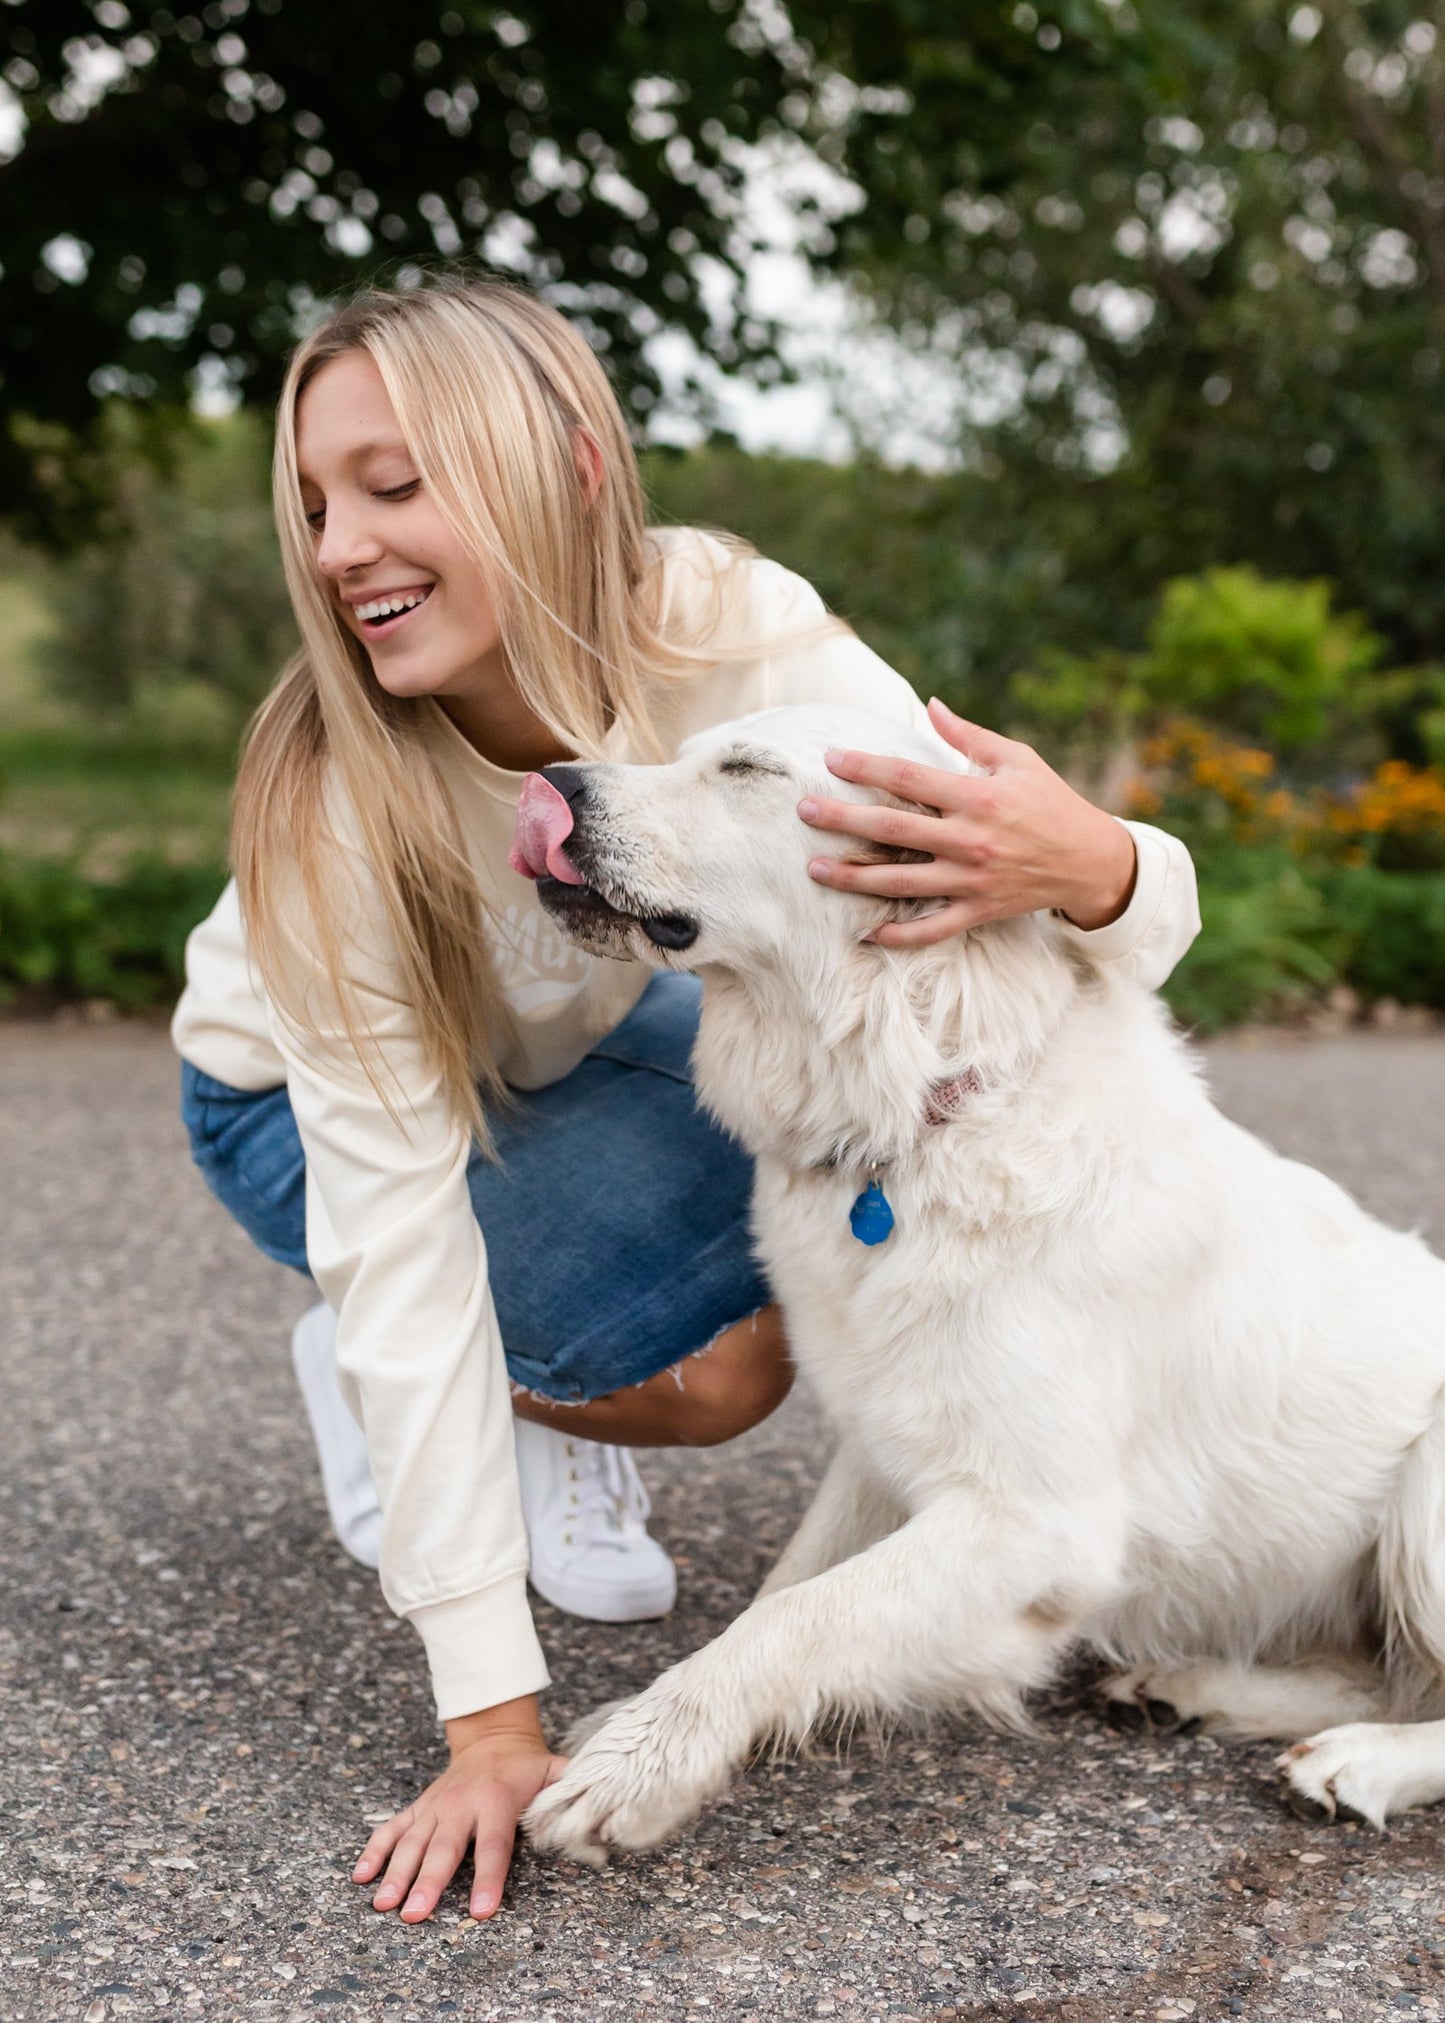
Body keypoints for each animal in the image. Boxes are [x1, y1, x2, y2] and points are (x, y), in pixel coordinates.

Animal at [505, 704, 1440, 1853]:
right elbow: (788, 1584)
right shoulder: (880, 1444)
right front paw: (647, 1725)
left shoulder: (1035, 1522)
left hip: (1424, 1496)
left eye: (744, 768)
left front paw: (642, 1764)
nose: (549, 784)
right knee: (1380, 1674)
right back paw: (1190, 1688)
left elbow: (797, 1613)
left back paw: (1358, 1761)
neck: (922, 1110)